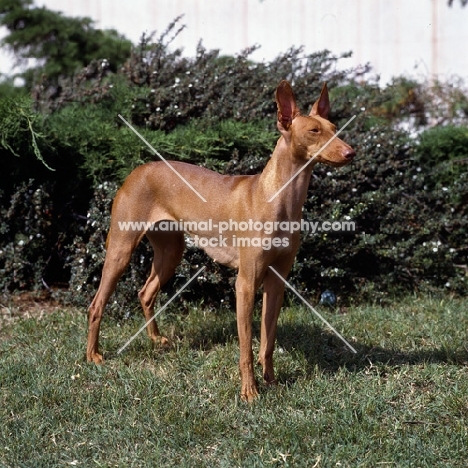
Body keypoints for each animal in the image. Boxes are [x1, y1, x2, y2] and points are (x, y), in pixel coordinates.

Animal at [87, 80, 354, 402]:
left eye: (334, 127)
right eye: (314, 131)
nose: (351, 152)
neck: (279, 198)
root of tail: (138, 169)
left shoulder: (277, 280)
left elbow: (267, 341)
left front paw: (271, 381)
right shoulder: (246, 283)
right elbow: (246, 347)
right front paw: (250, 391)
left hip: (170, 252)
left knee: (146, 292)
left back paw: (155, 339)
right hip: (121, 250)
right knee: (97, 304)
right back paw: (93, 355)